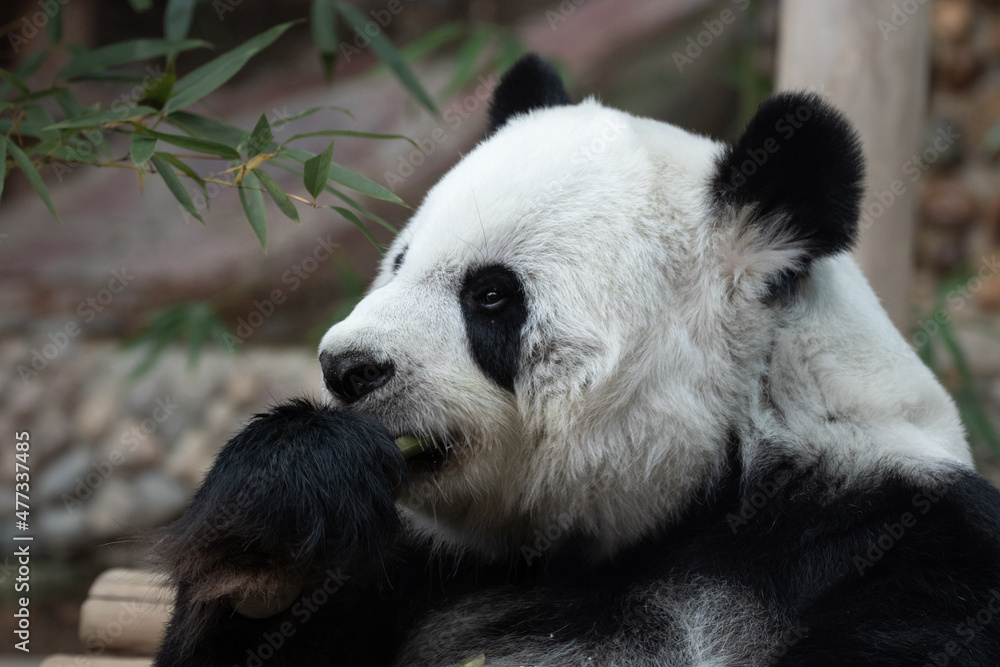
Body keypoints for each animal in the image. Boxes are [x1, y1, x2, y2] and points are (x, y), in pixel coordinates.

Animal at [153, 54, 1000, 666]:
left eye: (492, 295)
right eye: (397, 262)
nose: (348, 367)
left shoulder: (903, 552)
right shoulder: (416, 561)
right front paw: (280, 513)